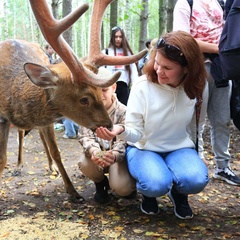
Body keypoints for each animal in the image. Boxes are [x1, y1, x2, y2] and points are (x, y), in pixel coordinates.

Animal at [0, 0, 147, 202]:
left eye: (100, 92)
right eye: (84, 99)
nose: (109, 126)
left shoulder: (45, 122)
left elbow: (56, 153)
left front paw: (73, 191)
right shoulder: (2, 119)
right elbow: (2, 159)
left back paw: (50, 167)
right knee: (22, 134)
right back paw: (19, 166)